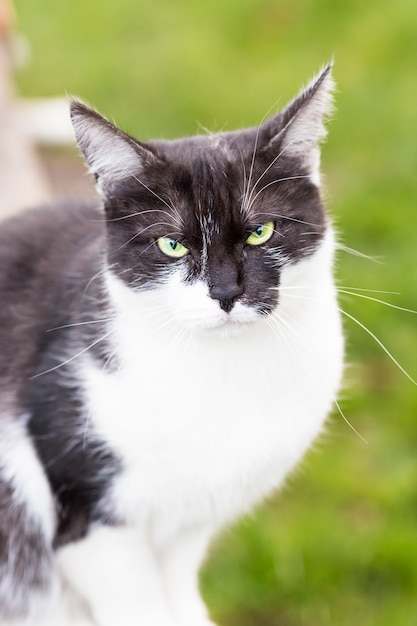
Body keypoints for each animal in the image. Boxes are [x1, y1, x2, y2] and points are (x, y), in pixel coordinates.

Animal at [0, 64, 342, 624]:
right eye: (172, 244)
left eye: (262, 232)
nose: (225, 293)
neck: (223, 375)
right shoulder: (88, 517)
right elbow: (139, 604)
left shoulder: (192, 518)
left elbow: (177, 586)